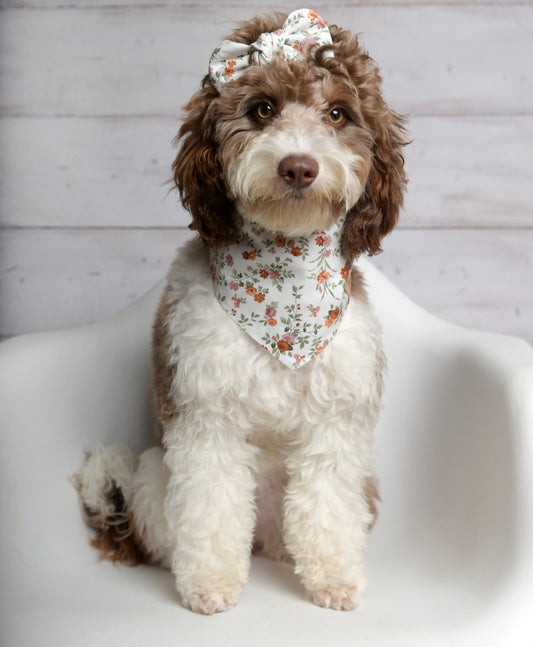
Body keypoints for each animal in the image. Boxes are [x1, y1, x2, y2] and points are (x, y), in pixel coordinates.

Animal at [75, 7, 406, 616]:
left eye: (337, 113)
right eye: (263, 109)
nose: (298, 167)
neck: (285, 284)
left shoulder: (335, 427)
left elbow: (328, 506)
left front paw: (334, 580)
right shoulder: (206, 418)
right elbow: (211, 506)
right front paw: (210, 585)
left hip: (359, 488)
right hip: (154, 474)